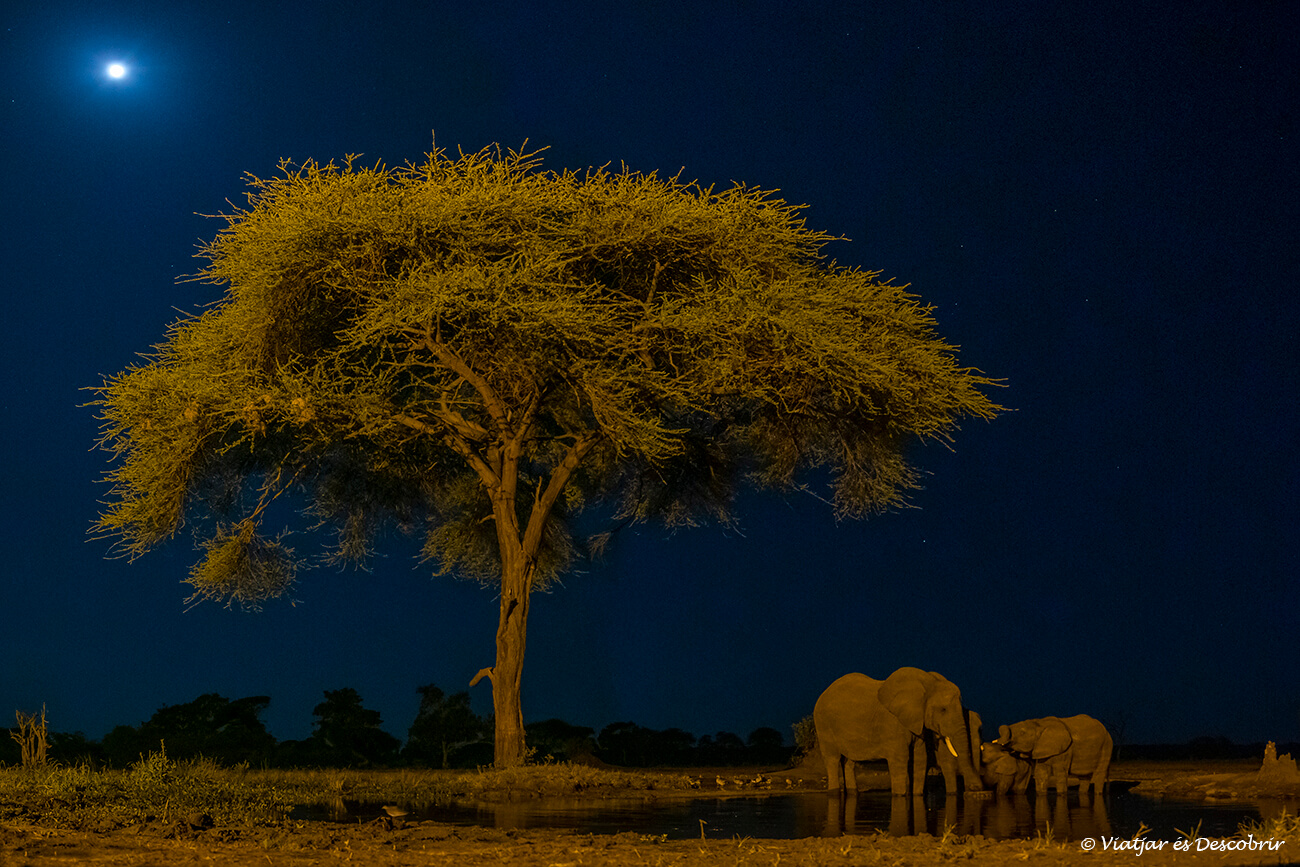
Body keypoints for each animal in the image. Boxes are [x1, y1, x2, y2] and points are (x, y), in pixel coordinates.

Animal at [813, 667, 985, 796]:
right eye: (943, 710)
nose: (976, 788)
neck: (928, 683)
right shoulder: (892, 722)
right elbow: (900, 759)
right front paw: (899, 795)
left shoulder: (917, 722)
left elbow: (920, 758)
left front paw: (916, 795)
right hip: (823, 724)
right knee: (832, 759)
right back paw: (834, 793)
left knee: (849, 763)